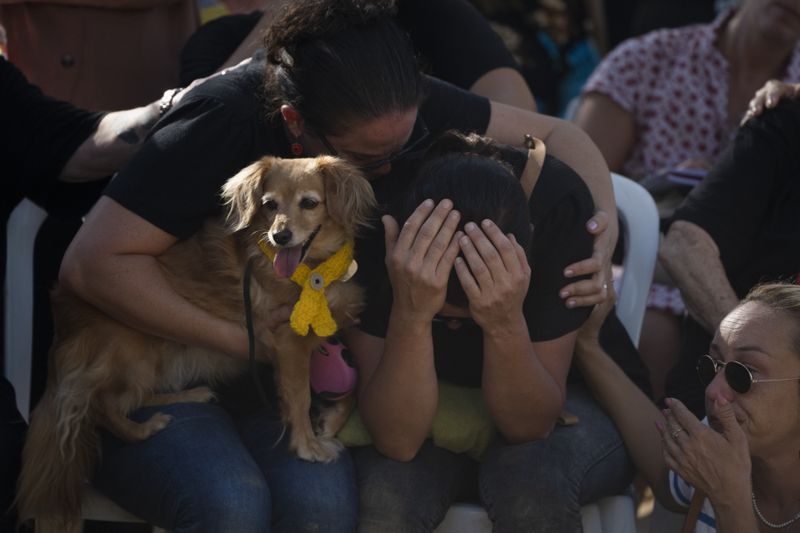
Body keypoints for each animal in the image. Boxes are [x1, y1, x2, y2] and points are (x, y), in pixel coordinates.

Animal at [17, 154, 376, 524]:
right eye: (269, 205)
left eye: (309, 203)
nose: (280, 236)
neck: (315, 270)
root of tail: (63, 319)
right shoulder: (287, 343)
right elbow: (300, 397)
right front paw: (307, 446)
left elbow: (353, 388)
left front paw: (329, 423)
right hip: (136, 350)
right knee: (100, 405)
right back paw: (142, 430)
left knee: (131, 399)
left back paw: (192, 395)